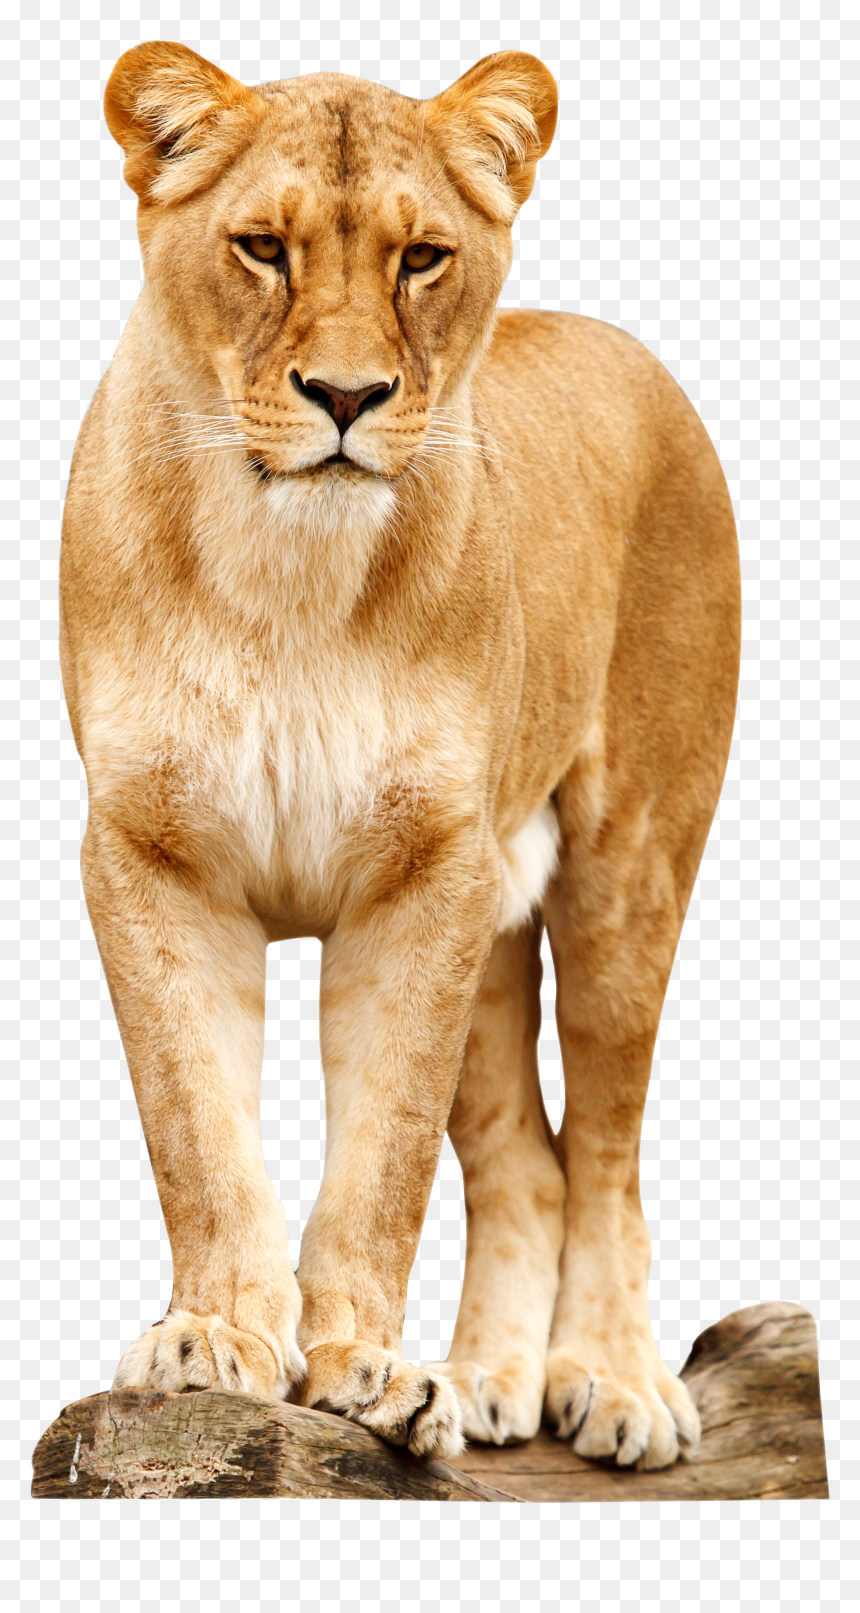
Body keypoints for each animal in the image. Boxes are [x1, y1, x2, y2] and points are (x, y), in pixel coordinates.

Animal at [59, 41, 740, 1470]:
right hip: (494, 917)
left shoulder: (424, 872)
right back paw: (485, 1380)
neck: (286, 573)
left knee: (606, 1148)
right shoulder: (151, 855)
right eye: (261, 247)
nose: (346, 397)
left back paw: (613, 1380)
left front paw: (363, 1367)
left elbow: (383, 1156)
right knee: (526, 1159)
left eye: (422, 258)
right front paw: (214, 1336)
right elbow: (196, 1127)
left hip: (625, 870)